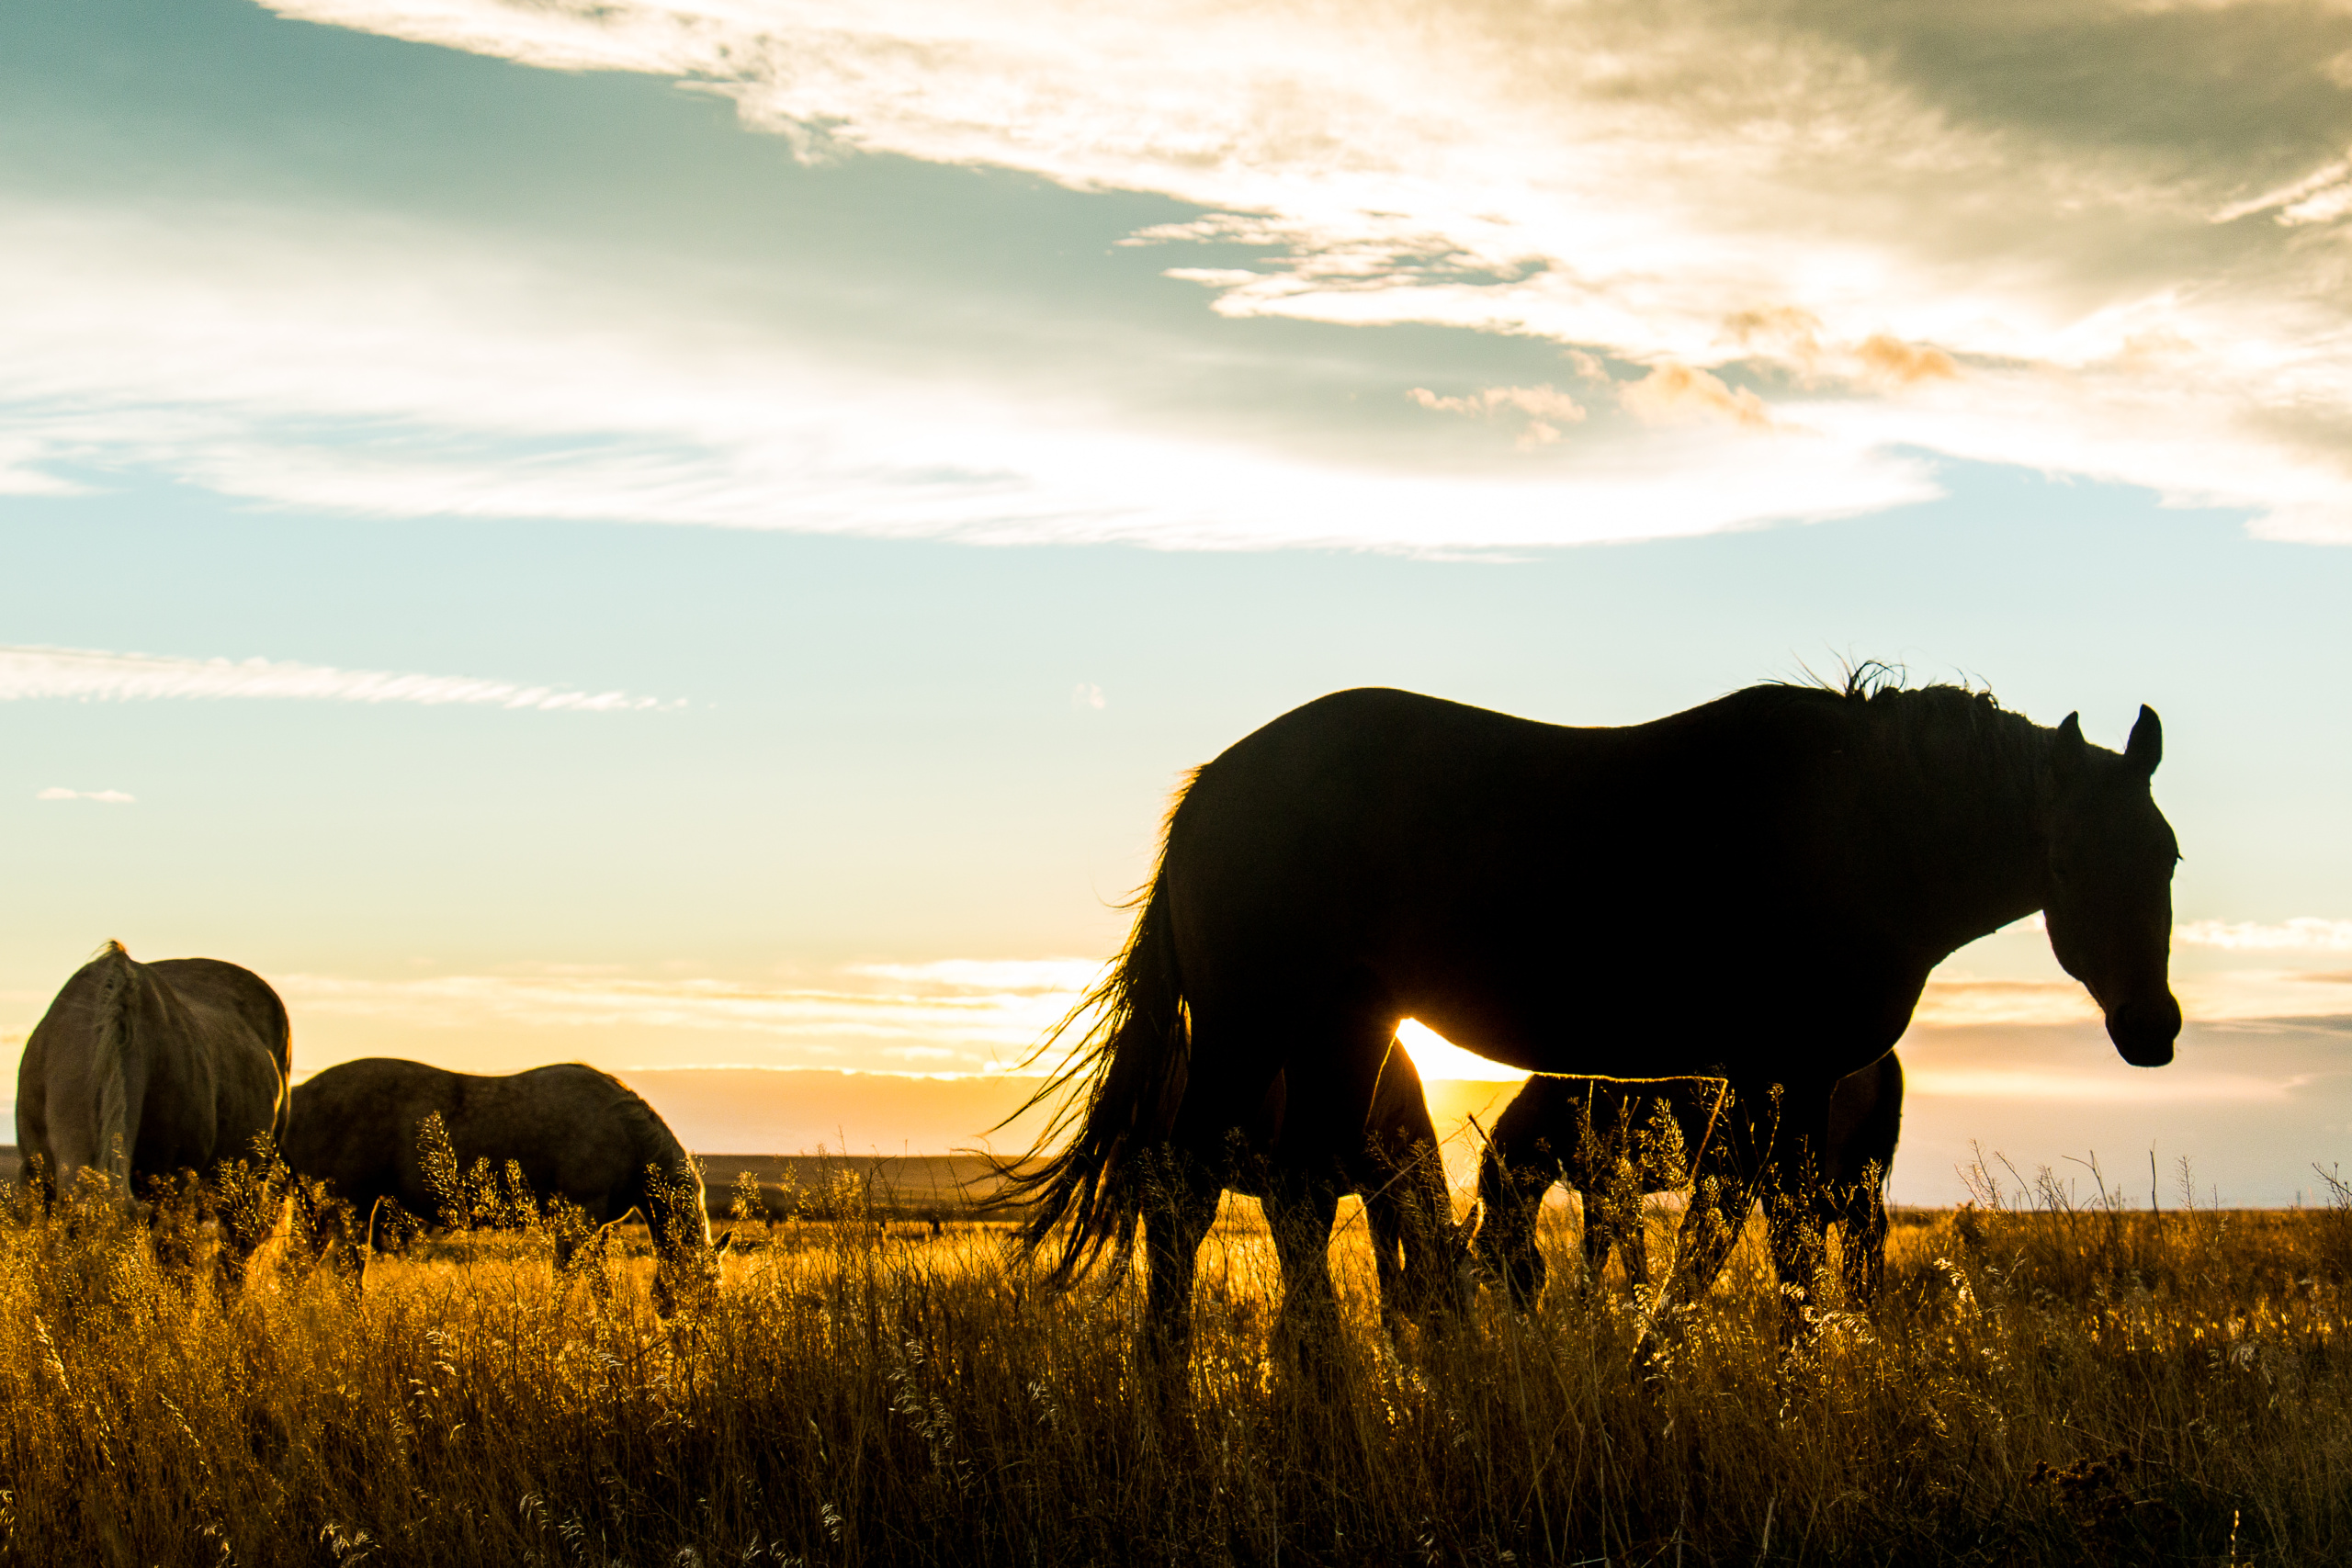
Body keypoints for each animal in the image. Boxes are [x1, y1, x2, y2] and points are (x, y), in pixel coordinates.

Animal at [283, 1066, 724, 1316]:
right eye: (704, 1286)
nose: (694, 1326)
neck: (625, 1135)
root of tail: (298, 1096)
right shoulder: (577, 1220)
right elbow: (566, 1281)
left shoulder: (595, 1228)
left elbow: (599, 1286)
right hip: (351, 1207)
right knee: (344, 1275)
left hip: (316, 1211)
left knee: (294, 1269)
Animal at [1476, 1053, 1900, 1316]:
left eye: (1501, 1268)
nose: (1525, 1317)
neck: (1556, 1099)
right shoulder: (1595, 1193)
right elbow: (1593, 1265)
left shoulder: (1617, 1187)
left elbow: (1631, 1263)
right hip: (1857, 1177)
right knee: (1866, 1235)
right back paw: (1865, 1308)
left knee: (1860, 1235)